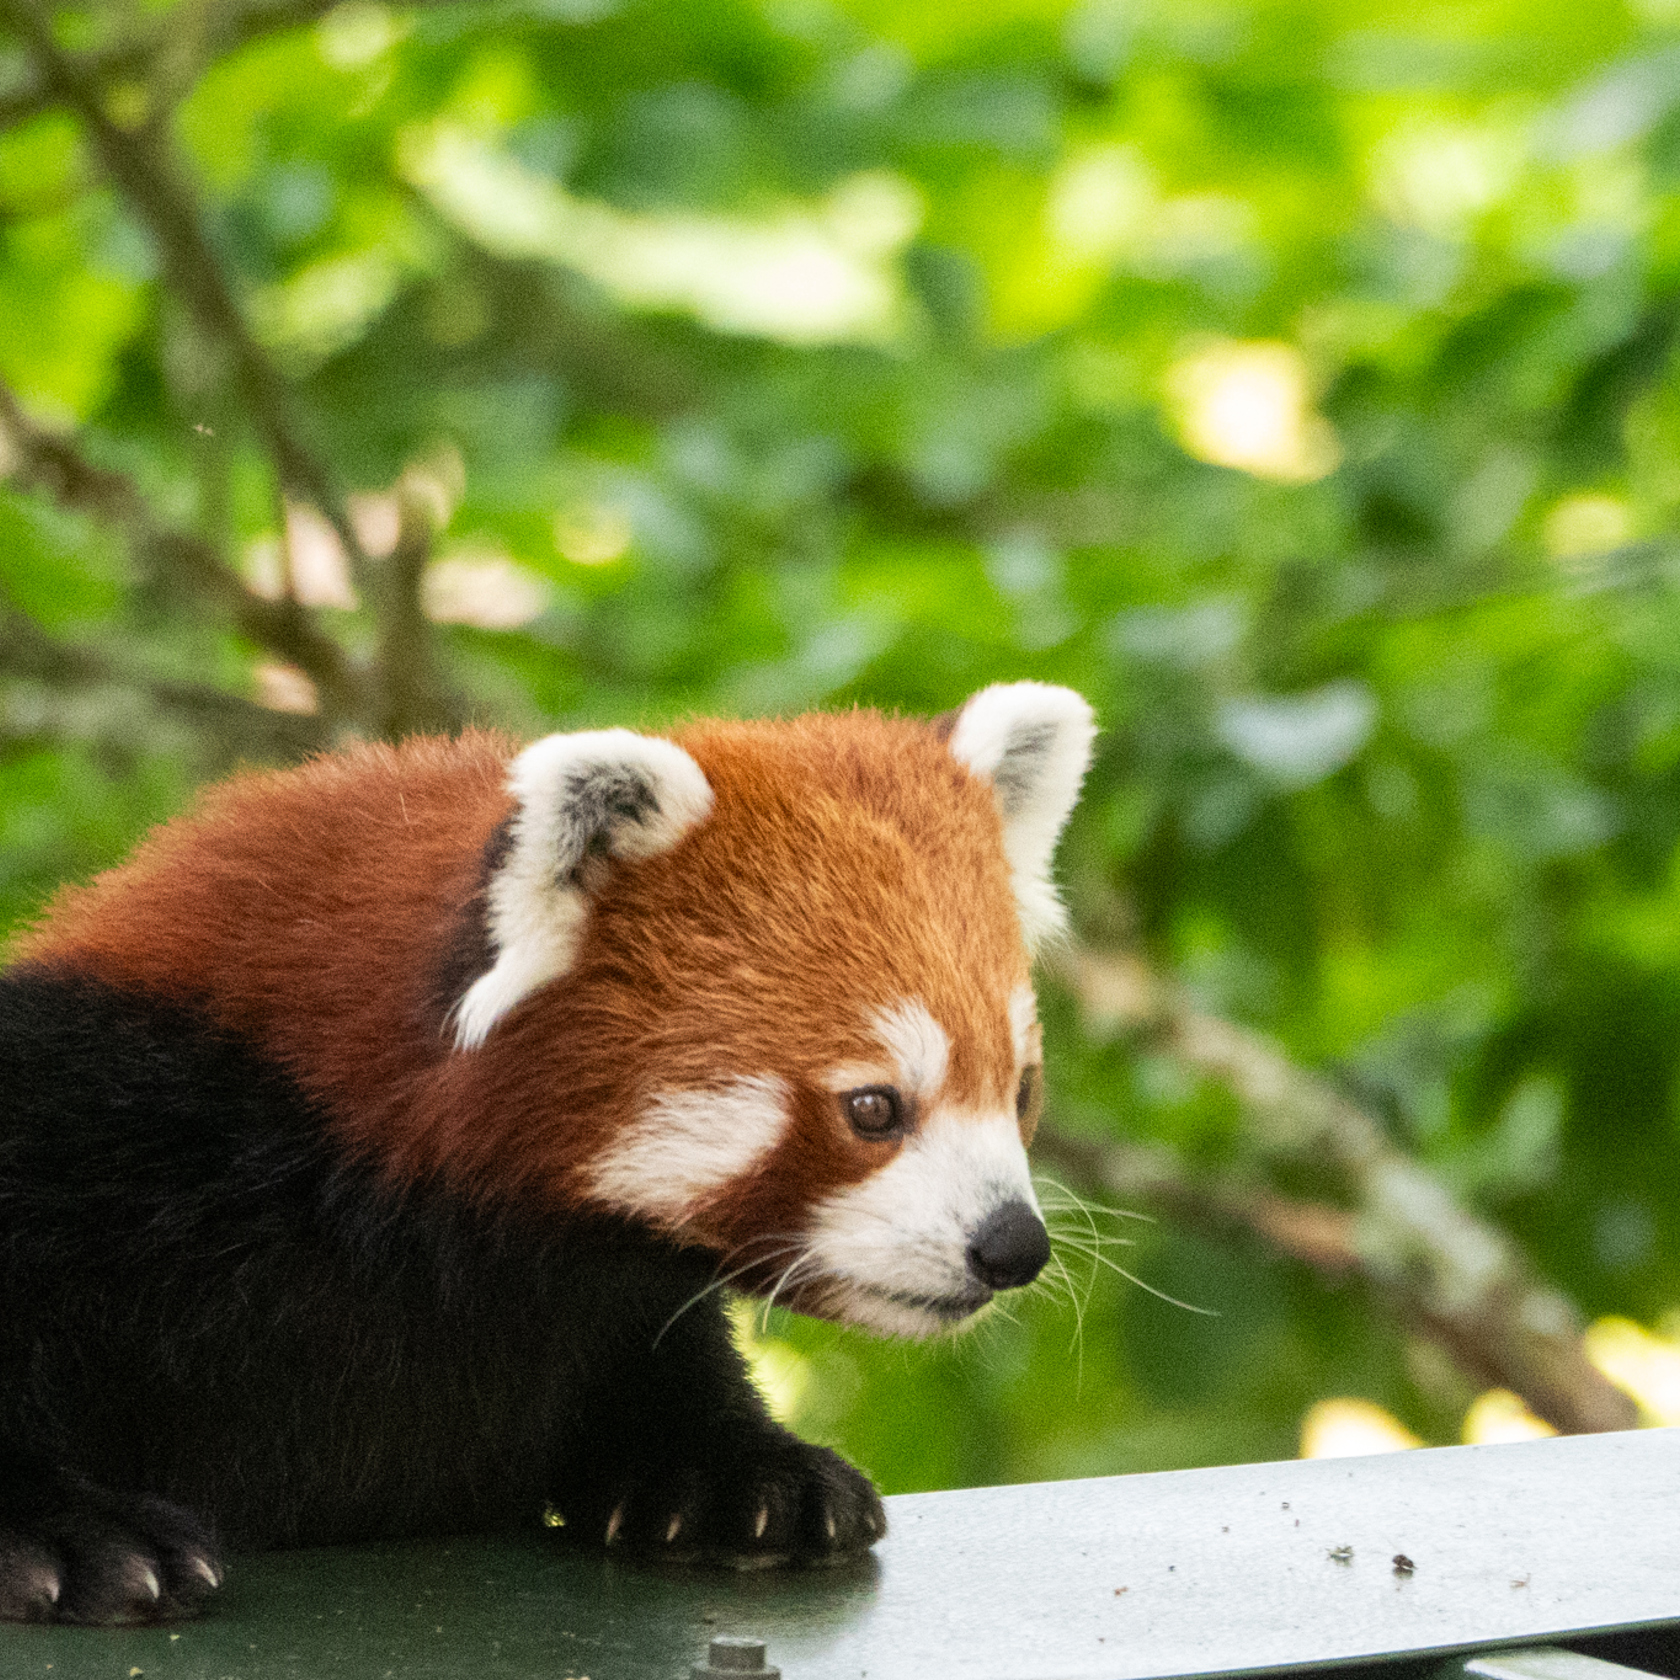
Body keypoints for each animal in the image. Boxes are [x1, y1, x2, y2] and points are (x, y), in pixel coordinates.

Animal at [0, 681, 1094, 1624]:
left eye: (1020, 1089)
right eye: (873, 1107)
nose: (1012, 1246)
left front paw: (740, 1471)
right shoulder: (109, 1114)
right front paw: (67, 1536)